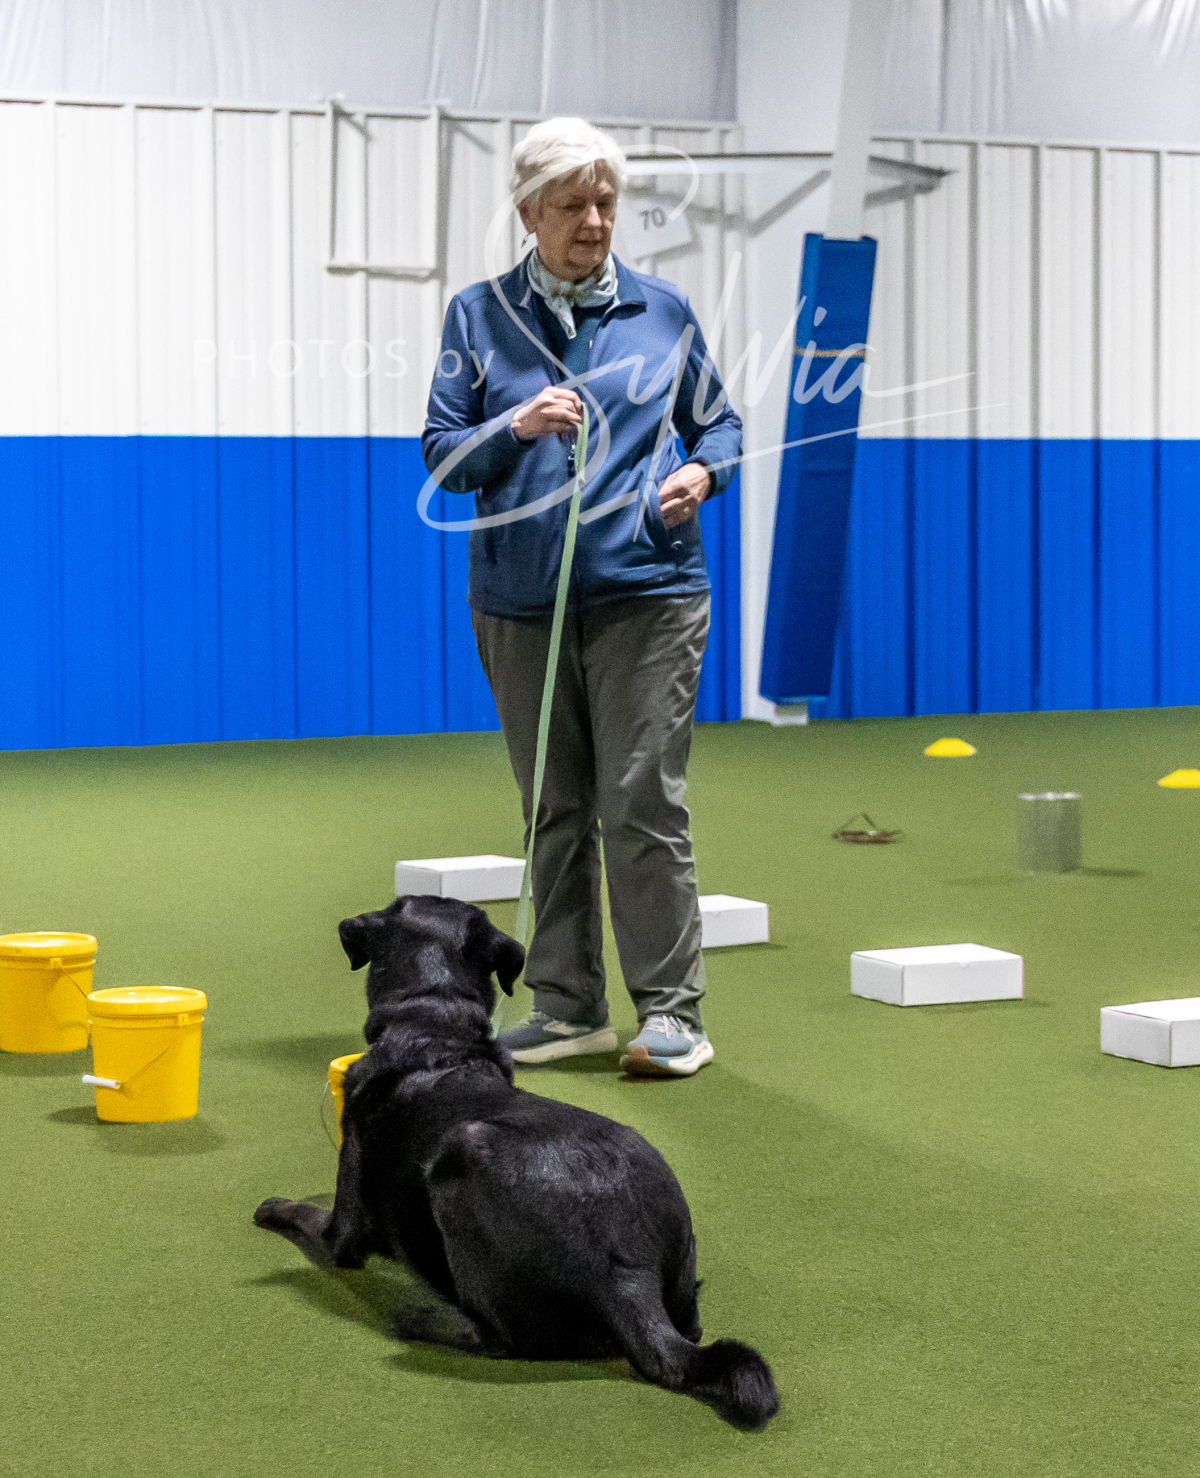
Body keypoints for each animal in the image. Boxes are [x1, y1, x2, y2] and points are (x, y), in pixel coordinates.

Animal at [254, 894, 779, 1430]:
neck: (436, 1030)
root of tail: (631, 1272)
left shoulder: (342, 1231)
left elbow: (305, 1216)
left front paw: (274, 1206)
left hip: (460, 1156)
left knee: (505, 1338)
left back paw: (425, 1319)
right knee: (691, 1330)